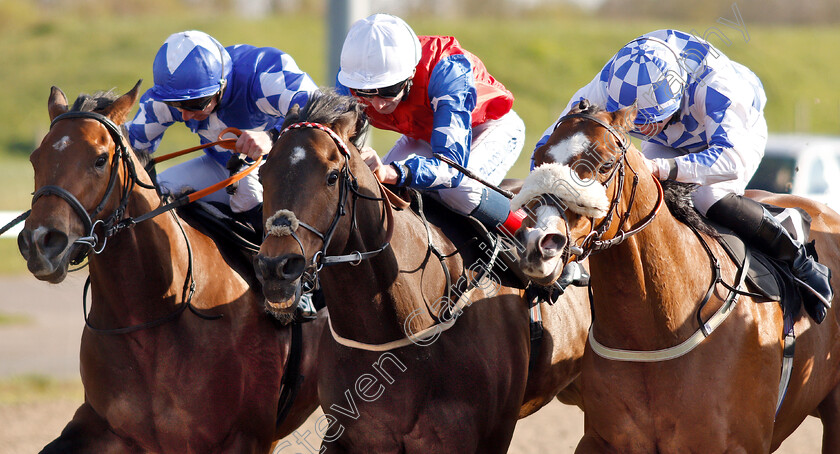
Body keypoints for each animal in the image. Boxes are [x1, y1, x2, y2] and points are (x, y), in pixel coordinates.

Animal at [18, 82, 324, 454]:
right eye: (36, 158)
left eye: (100, 159)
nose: (40, 241)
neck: (152, 319)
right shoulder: (105, 426)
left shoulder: (244, 436)